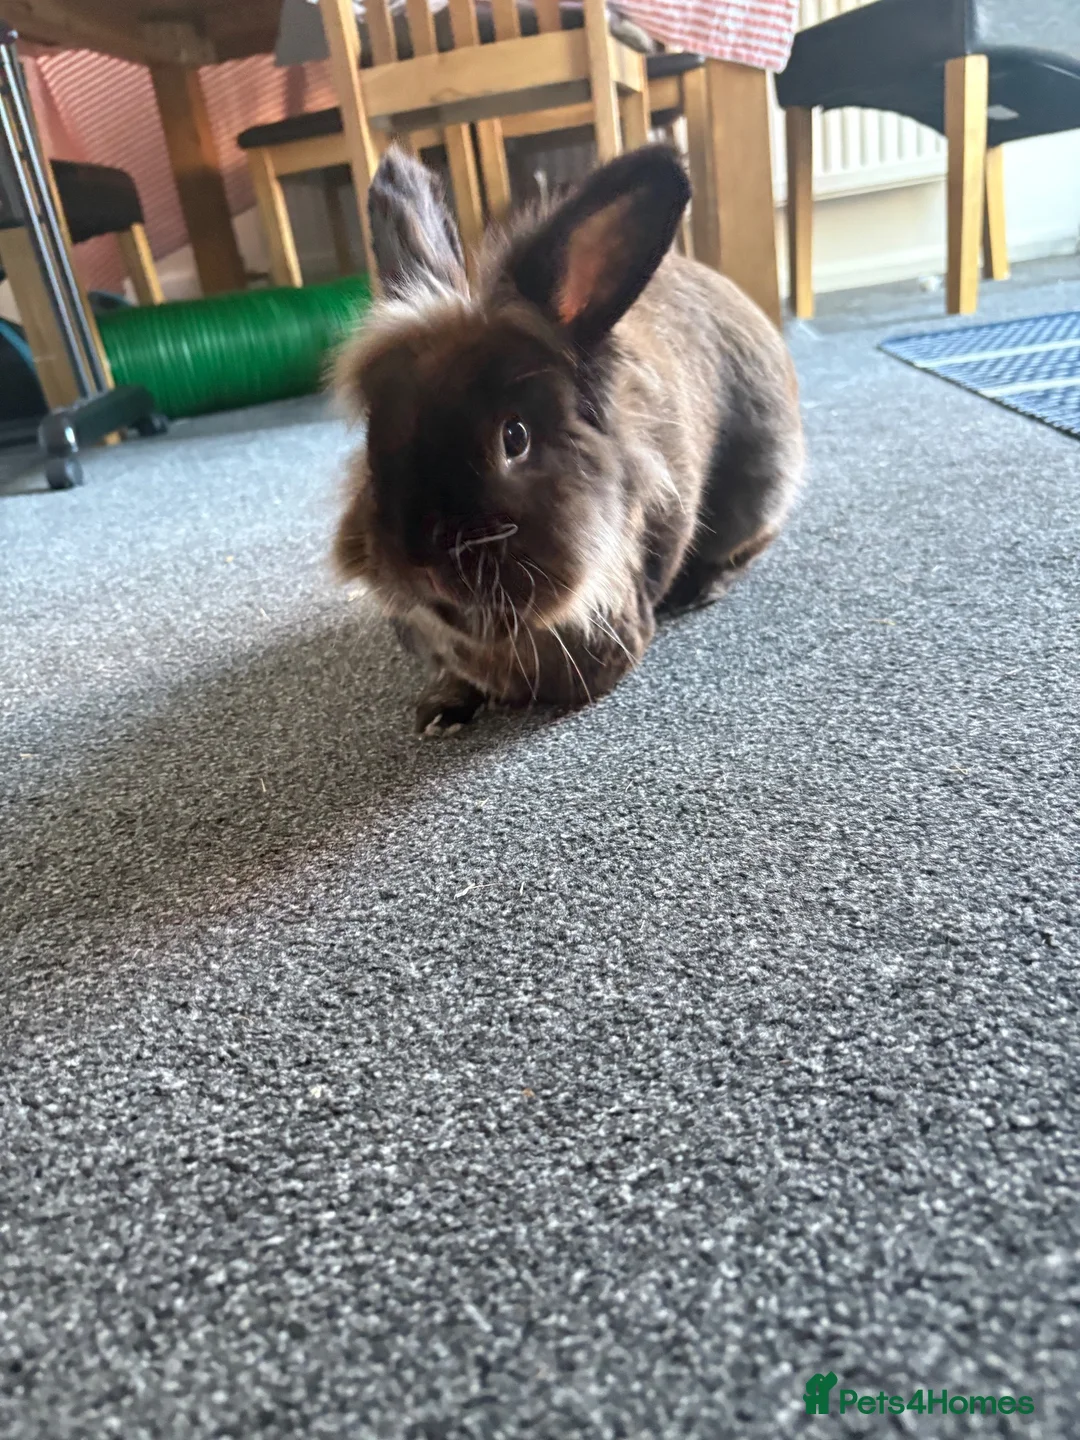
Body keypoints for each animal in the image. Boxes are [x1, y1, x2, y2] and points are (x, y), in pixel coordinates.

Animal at [333, 143, 804, 735]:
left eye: (514, 437)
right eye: (375, 436)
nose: (416, 561)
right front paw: (439, 711)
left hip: (763, 482)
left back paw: (701, 589)